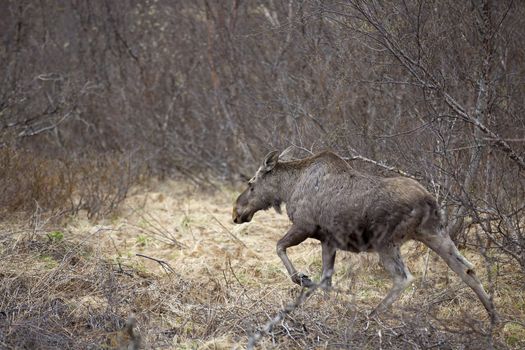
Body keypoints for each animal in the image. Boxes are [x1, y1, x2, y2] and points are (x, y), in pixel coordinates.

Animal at [232, 149, 496, 318]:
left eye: (251, 184)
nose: (236, 212)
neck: (287, 189)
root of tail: (429, 201)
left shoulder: (304, 226)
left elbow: (279, 247)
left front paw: (302, 278)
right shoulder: (328, 240)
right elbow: (326, 280)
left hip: (386, 242)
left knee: (403, 277)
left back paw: (372, 314)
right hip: (434, 233)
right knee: (467, 269)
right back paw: (494, 318)